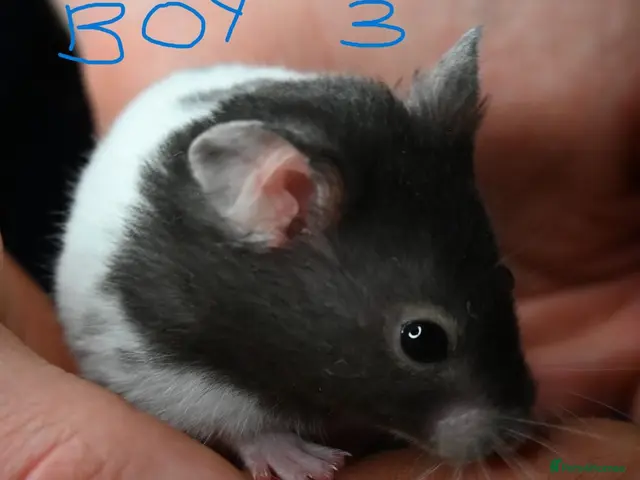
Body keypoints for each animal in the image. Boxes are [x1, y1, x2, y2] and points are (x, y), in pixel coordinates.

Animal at [54, 26, 537, 480]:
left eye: (508, 280)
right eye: (422, 340)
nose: (520, 436)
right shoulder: (162, 370)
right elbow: (242, 425)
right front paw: (313, 465)